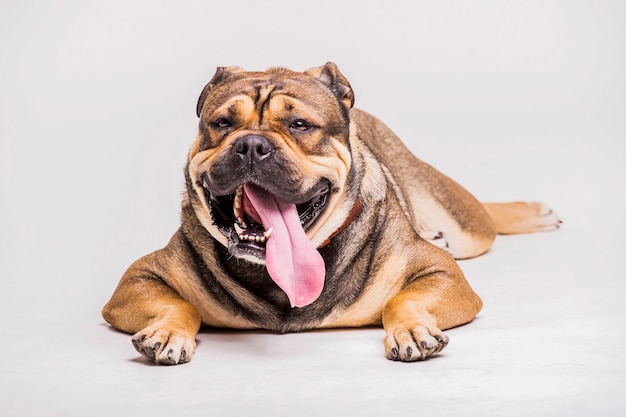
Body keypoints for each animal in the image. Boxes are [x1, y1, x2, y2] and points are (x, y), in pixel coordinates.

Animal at [102, 62, 560, 364]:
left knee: (483, 218)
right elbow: (180, 305)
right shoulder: (137, 280)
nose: (251, 144)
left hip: (460, 223)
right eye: (221, 123)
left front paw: (412, 329)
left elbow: (406, 298)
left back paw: (533, 212)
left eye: (300, 125)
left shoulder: (444, 273)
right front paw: (167, 332)